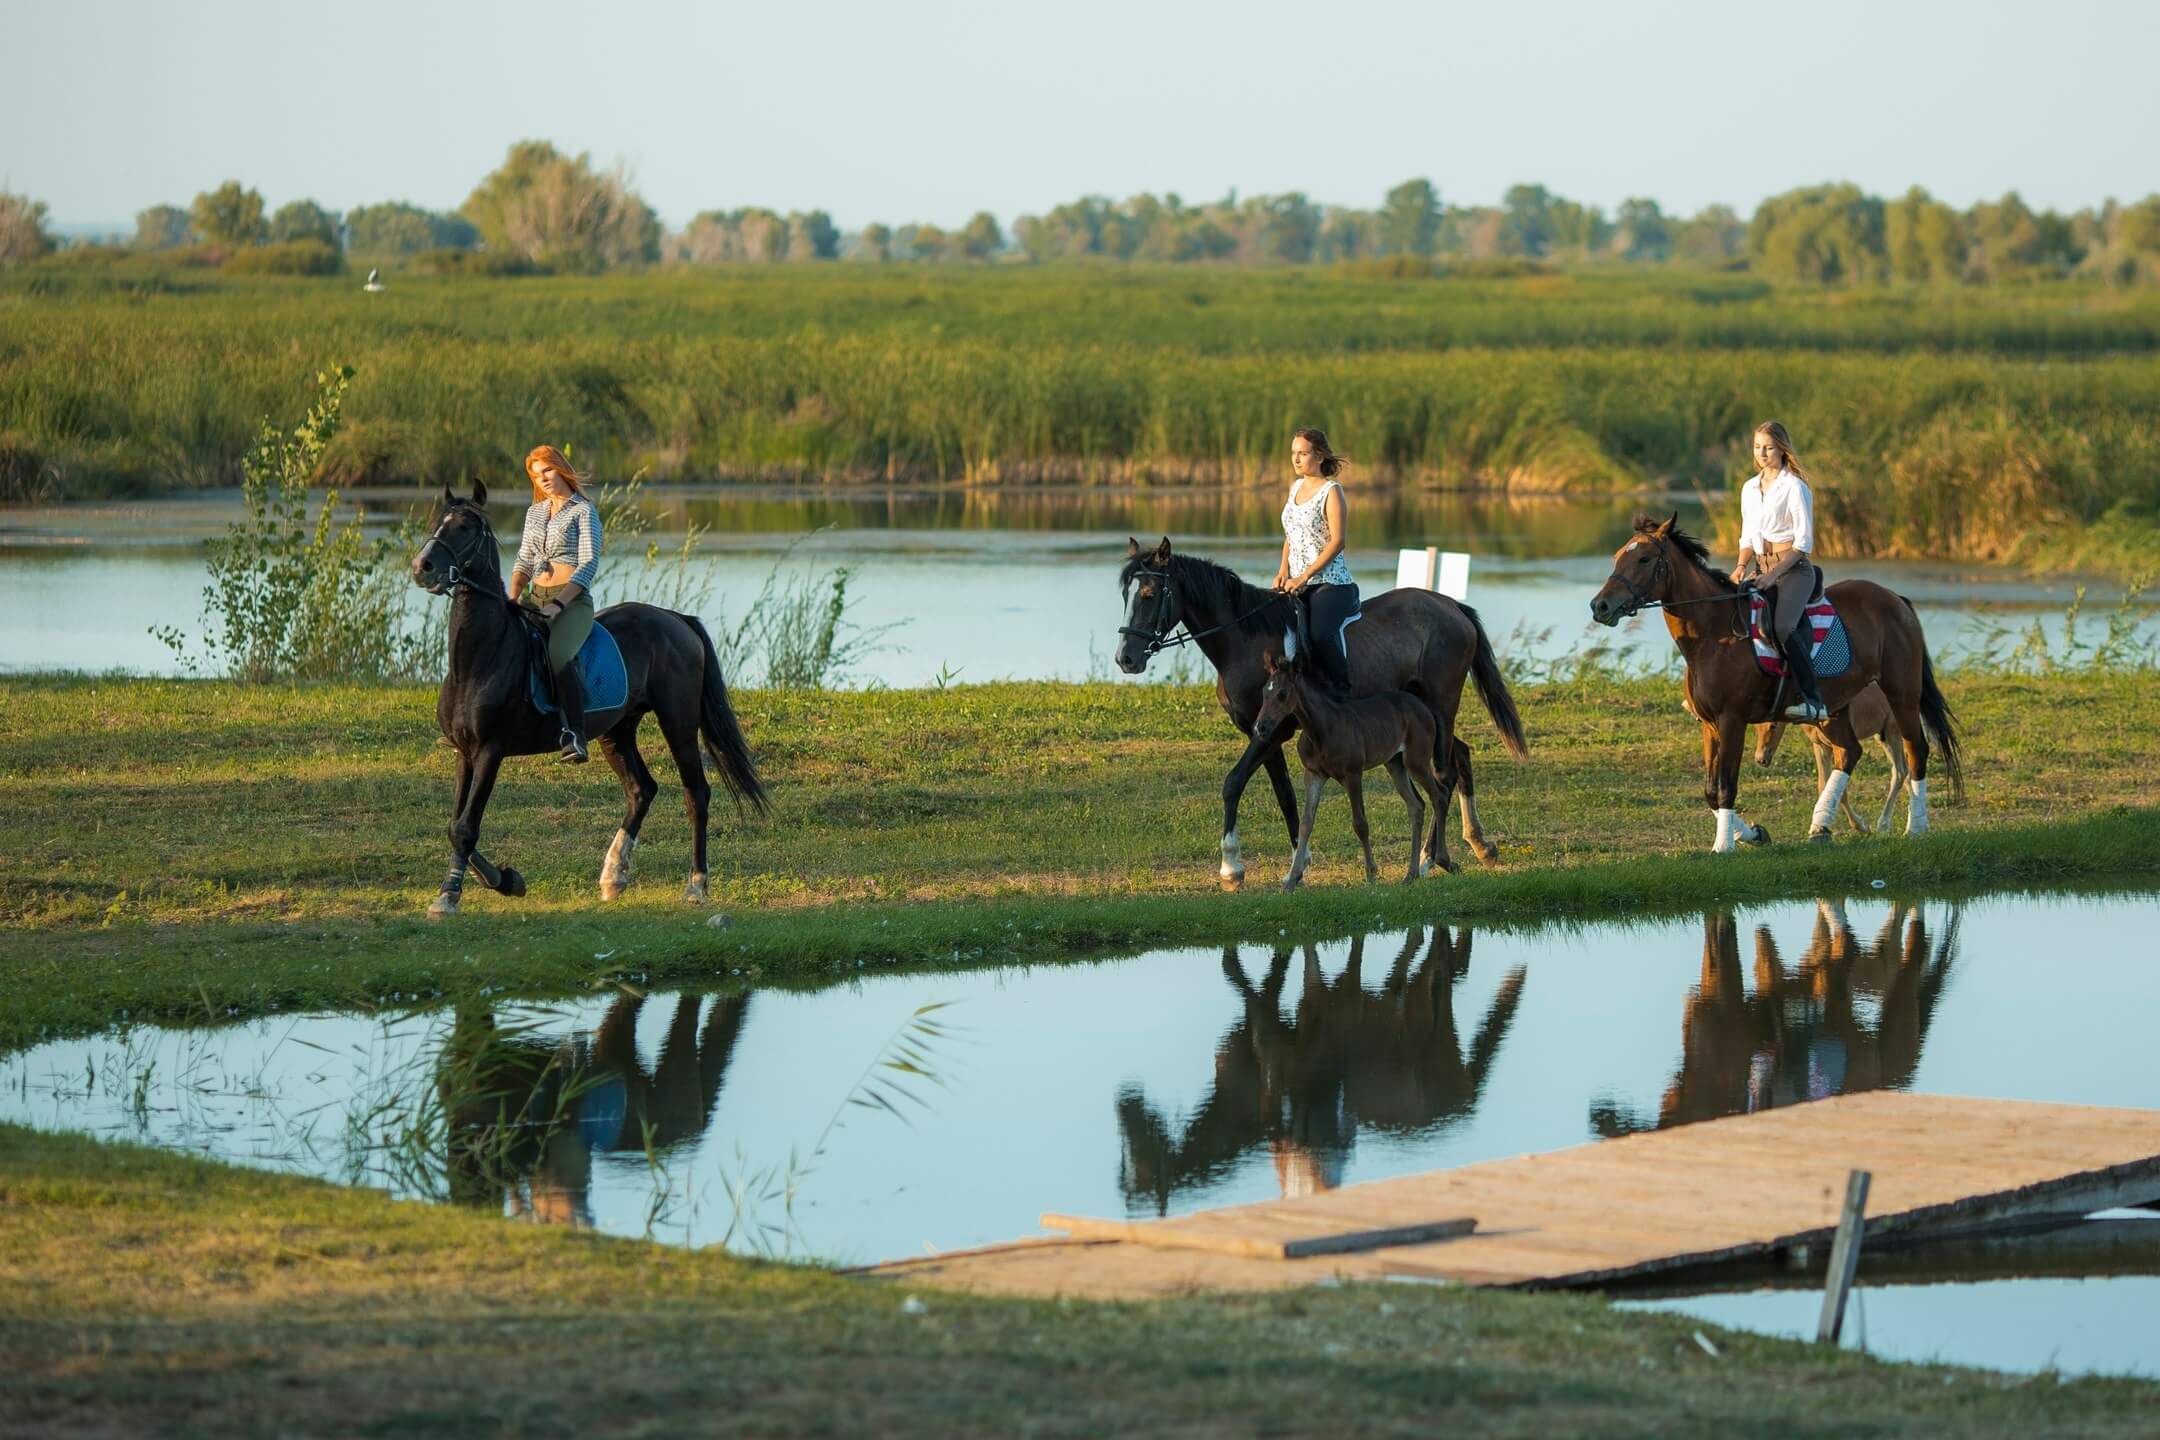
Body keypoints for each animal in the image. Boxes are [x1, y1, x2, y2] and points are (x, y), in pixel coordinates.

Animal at [408, 479, 773, 919]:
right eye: (435, 522)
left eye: (464, 527)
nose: (422, 567)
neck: (481, 658)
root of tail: (675, 619)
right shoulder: (465, 752)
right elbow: (455, 826)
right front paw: (505, 881)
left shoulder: (490, 751)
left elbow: (465, 827)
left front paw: (451, 895)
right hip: (617, 731)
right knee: (641, 789)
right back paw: (613, 876)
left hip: (678, 721)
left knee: (696, 794)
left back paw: (696, 885)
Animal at [1261, 651, 1442, 889]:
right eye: (1264, 691)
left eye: (1282, 694)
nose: (1260, 727)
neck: (1321, 731)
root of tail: (1424, 708)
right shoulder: (1314, 774)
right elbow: (1306, 824)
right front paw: (1291, 880)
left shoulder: (1353, 774)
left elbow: (1360, 823)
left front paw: (1371, 872)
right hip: (1395, 764)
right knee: (1416, 806)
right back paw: (1410, 874)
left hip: (1416, 761)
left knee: (1439, 795)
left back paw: (1438, 859)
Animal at [1589, 518, 1961, 850]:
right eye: (1617, 556)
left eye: (1644, 558)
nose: (1600, 605)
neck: (1713, 636)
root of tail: (1896, 599)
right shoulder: (1709, 725)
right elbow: (1710, 791)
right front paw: (1753, 834)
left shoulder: (1732, 720)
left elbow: (1726, 786)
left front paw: (1724, 846)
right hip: (1836, 707)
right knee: (1849, 753)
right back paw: (1820, 825)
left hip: (1901, 693)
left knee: (1915, 751)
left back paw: (1915, 827)